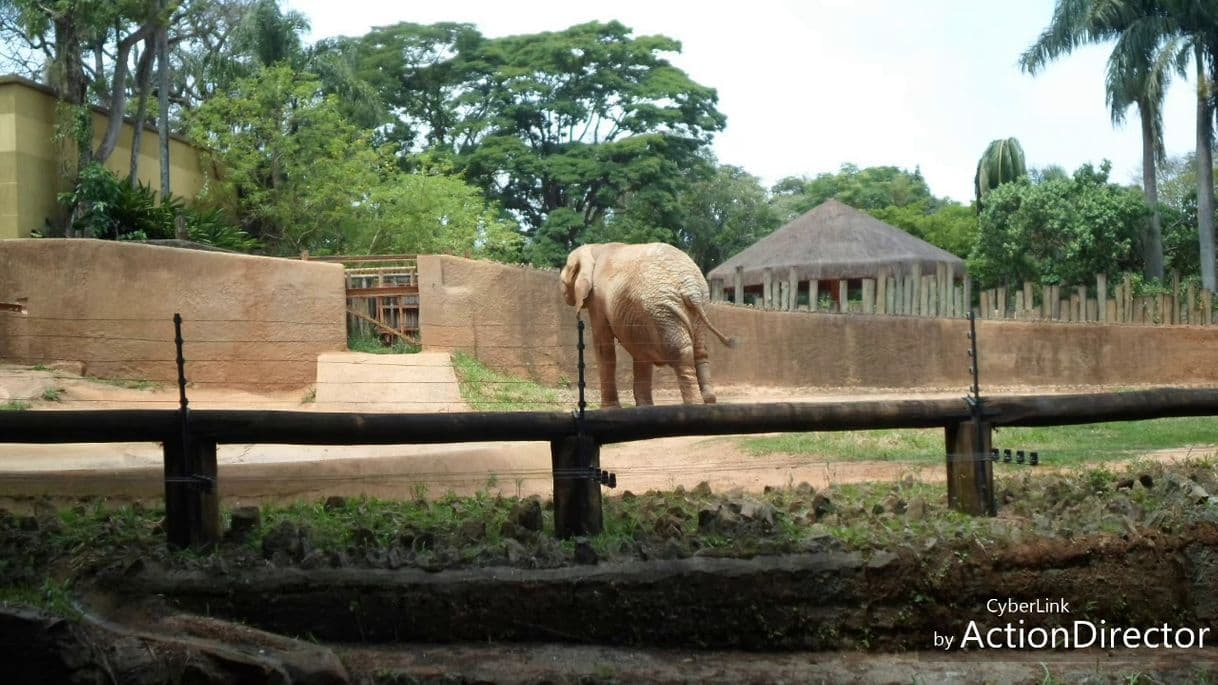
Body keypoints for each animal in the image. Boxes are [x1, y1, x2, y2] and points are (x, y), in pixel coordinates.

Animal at [557, 241, 730, 404]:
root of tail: (691, 287)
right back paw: (709, 400)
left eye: (565, 271)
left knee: (681, 354)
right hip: (693, 308)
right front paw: (645, 407)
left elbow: (604, 347)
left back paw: (695, 404)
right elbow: (640, 351)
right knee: (699, 351)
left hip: (662, 308)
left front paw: (610, 409)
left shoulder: (597, 299)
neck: (595, 248)